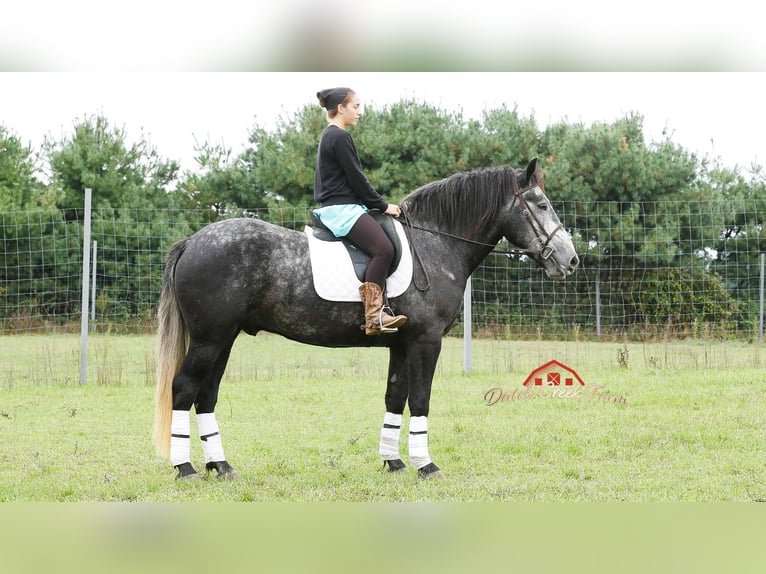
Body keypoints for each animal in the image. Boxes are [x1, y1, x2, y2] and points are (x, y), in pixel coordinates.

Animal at [153, 158, 580, 482]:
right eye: (541, 204)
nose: (571, 259)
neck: (436, 241)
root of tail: (193, 241)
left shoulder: (401, 344)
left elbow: (395, 397)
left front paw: (394, 462)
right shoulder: (426, 341)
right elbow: (420, 400)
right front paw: (427, 466)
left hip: (223, 339)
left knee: (206, 395)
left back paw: (221, 466)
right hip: (209, 339)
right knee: (184, 388)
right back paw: (186, 468)